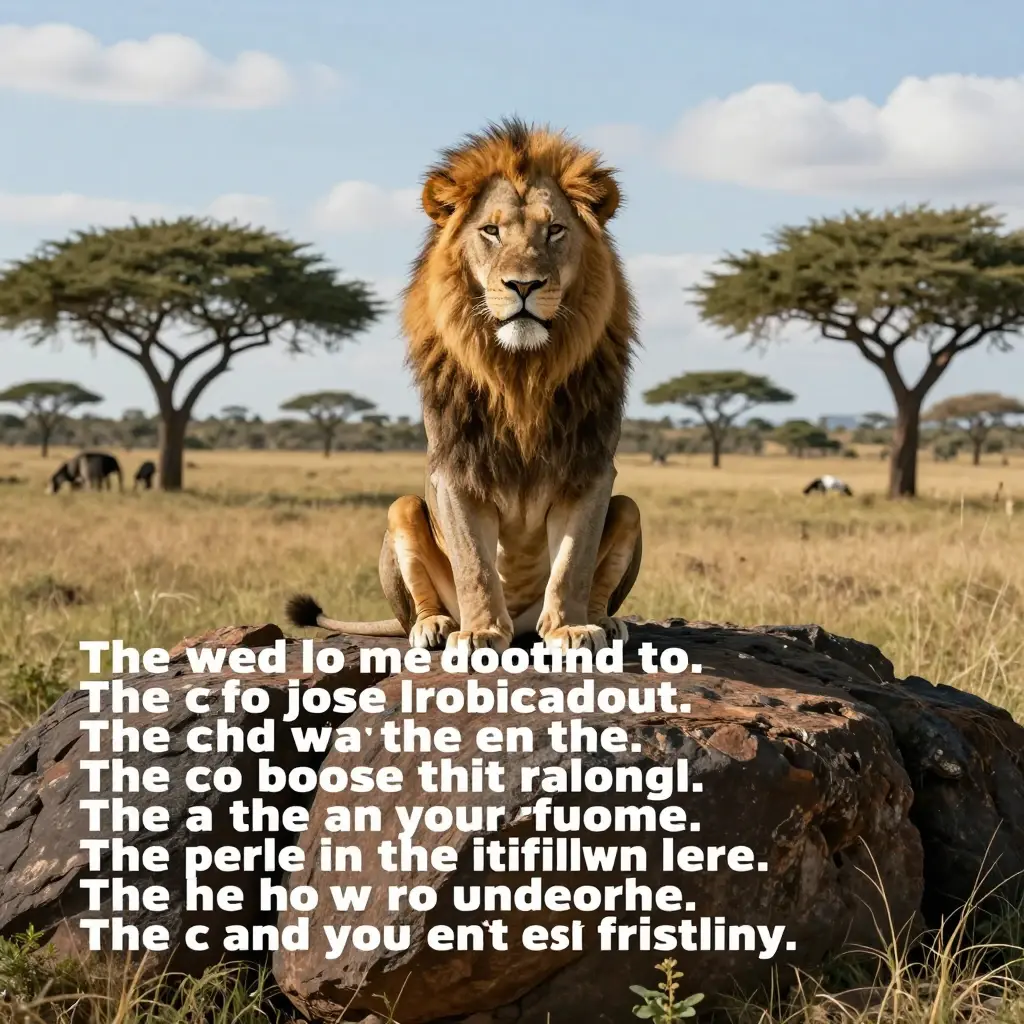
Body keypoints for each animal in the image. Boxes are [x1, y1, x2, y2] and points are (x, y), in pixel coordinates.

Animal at [286, 118, 642, 653]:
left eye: (555, 230)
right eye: (490, 231)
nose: (523, 285)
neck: (520, 373)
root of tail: (522, 625)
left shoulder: (591, 465)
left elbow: (573, 565)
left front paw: (570, 628)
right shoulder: (456, 467)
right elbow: (475, 562)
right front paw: (479, 632)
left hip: (629, 509)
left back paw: (604, 622)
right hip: (402, 508)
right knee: (417, 595)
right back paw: (434, 626)